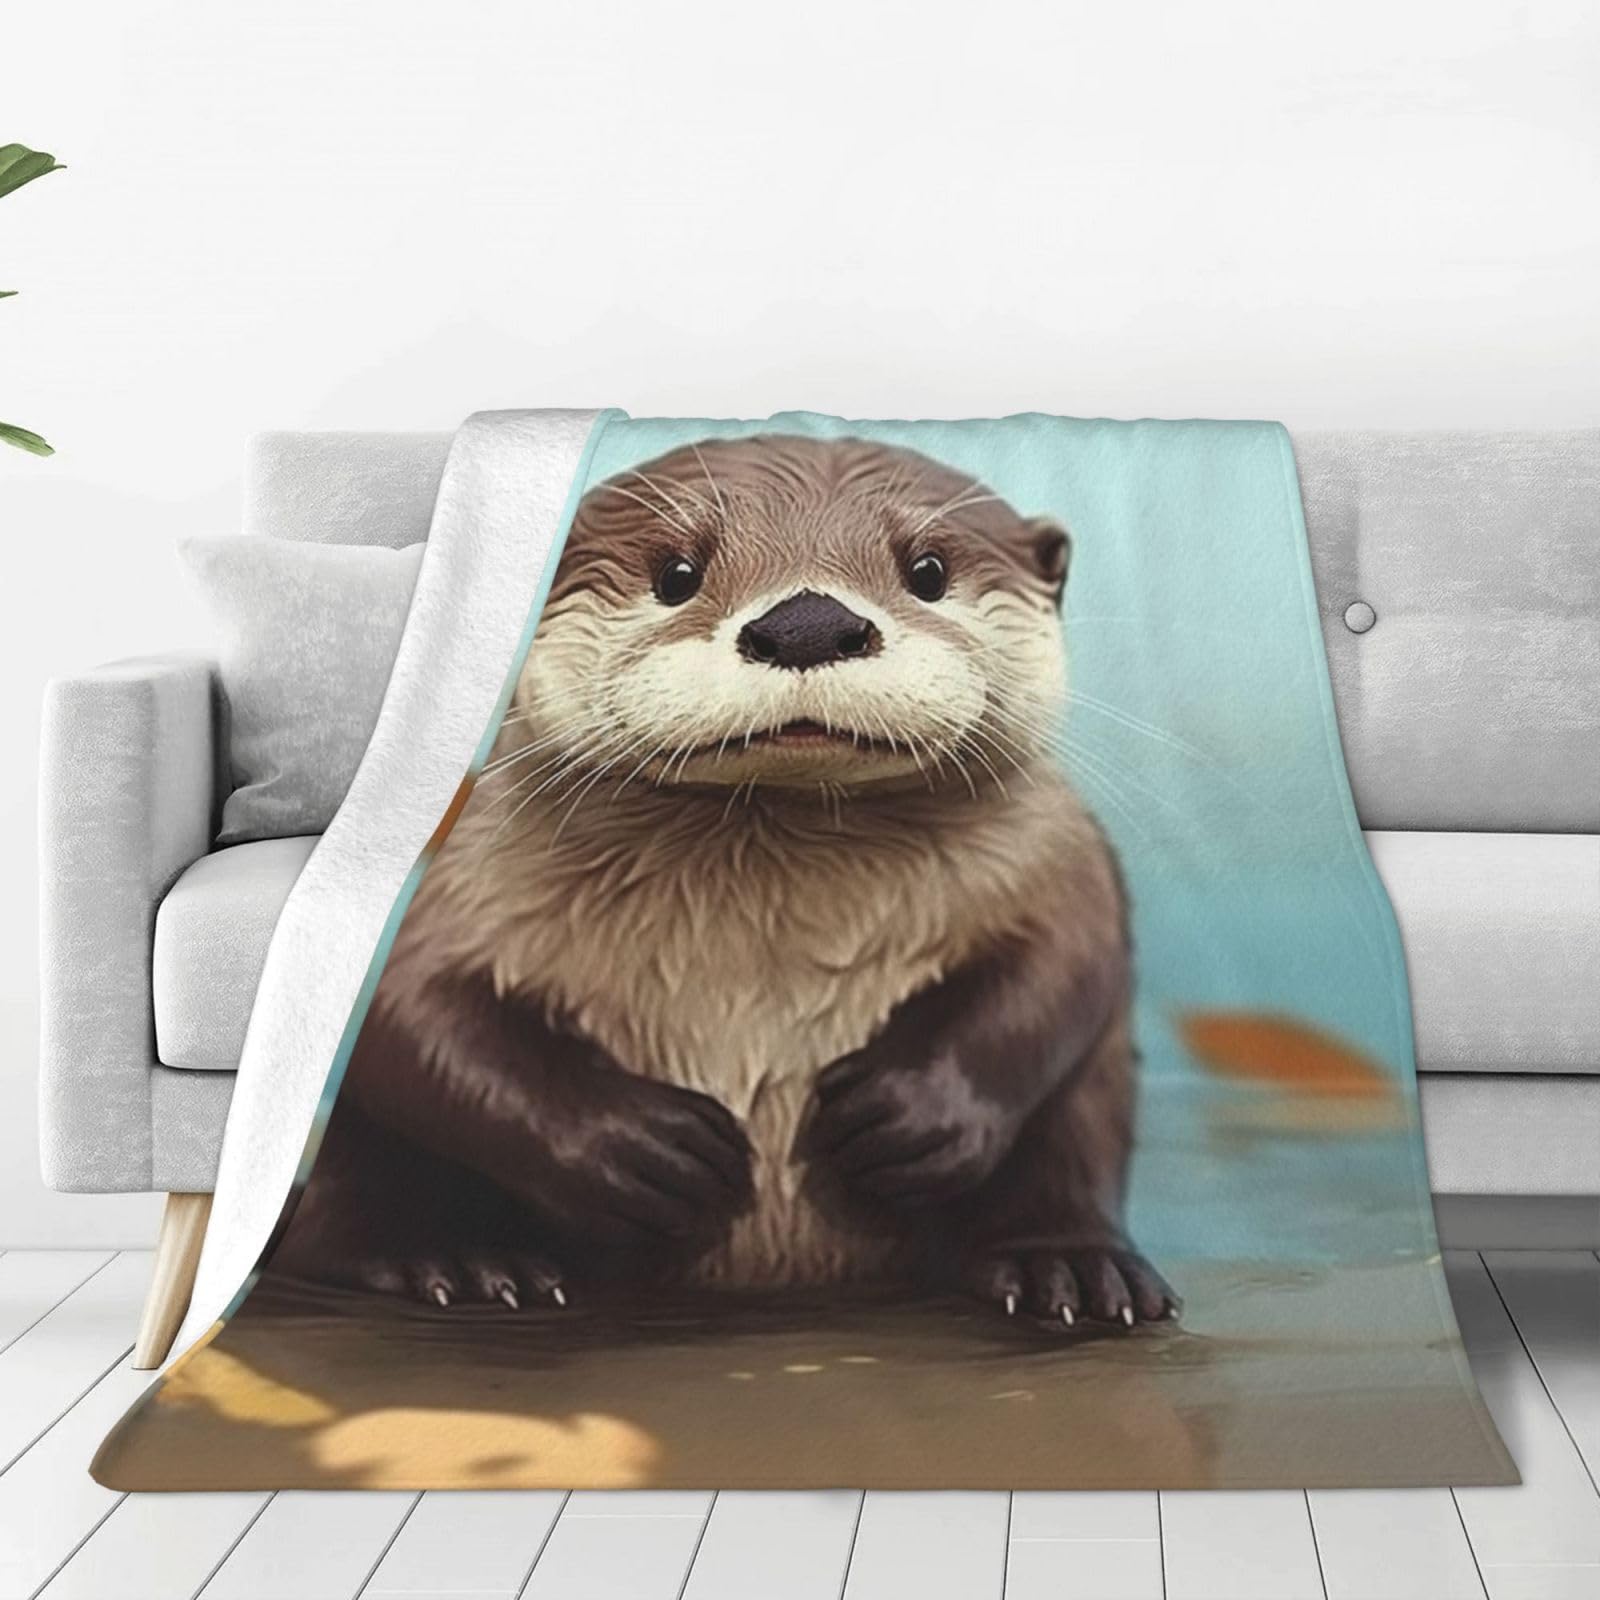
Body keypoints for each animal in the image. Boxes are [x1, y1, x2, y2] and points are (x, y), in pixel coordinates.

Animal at [272, 434, 1179, 1332]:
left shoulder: (1059, 854)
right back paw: (455, 1260)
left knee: (1068, 1142)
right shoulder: (460, 869)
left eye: (928, 569)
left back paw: (1070, 1265)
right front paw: (642, 1147)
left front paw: (908, 1110)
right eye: (677, 573)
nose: (809, 622)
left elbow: (1064, 969)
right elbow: (409, 1006)